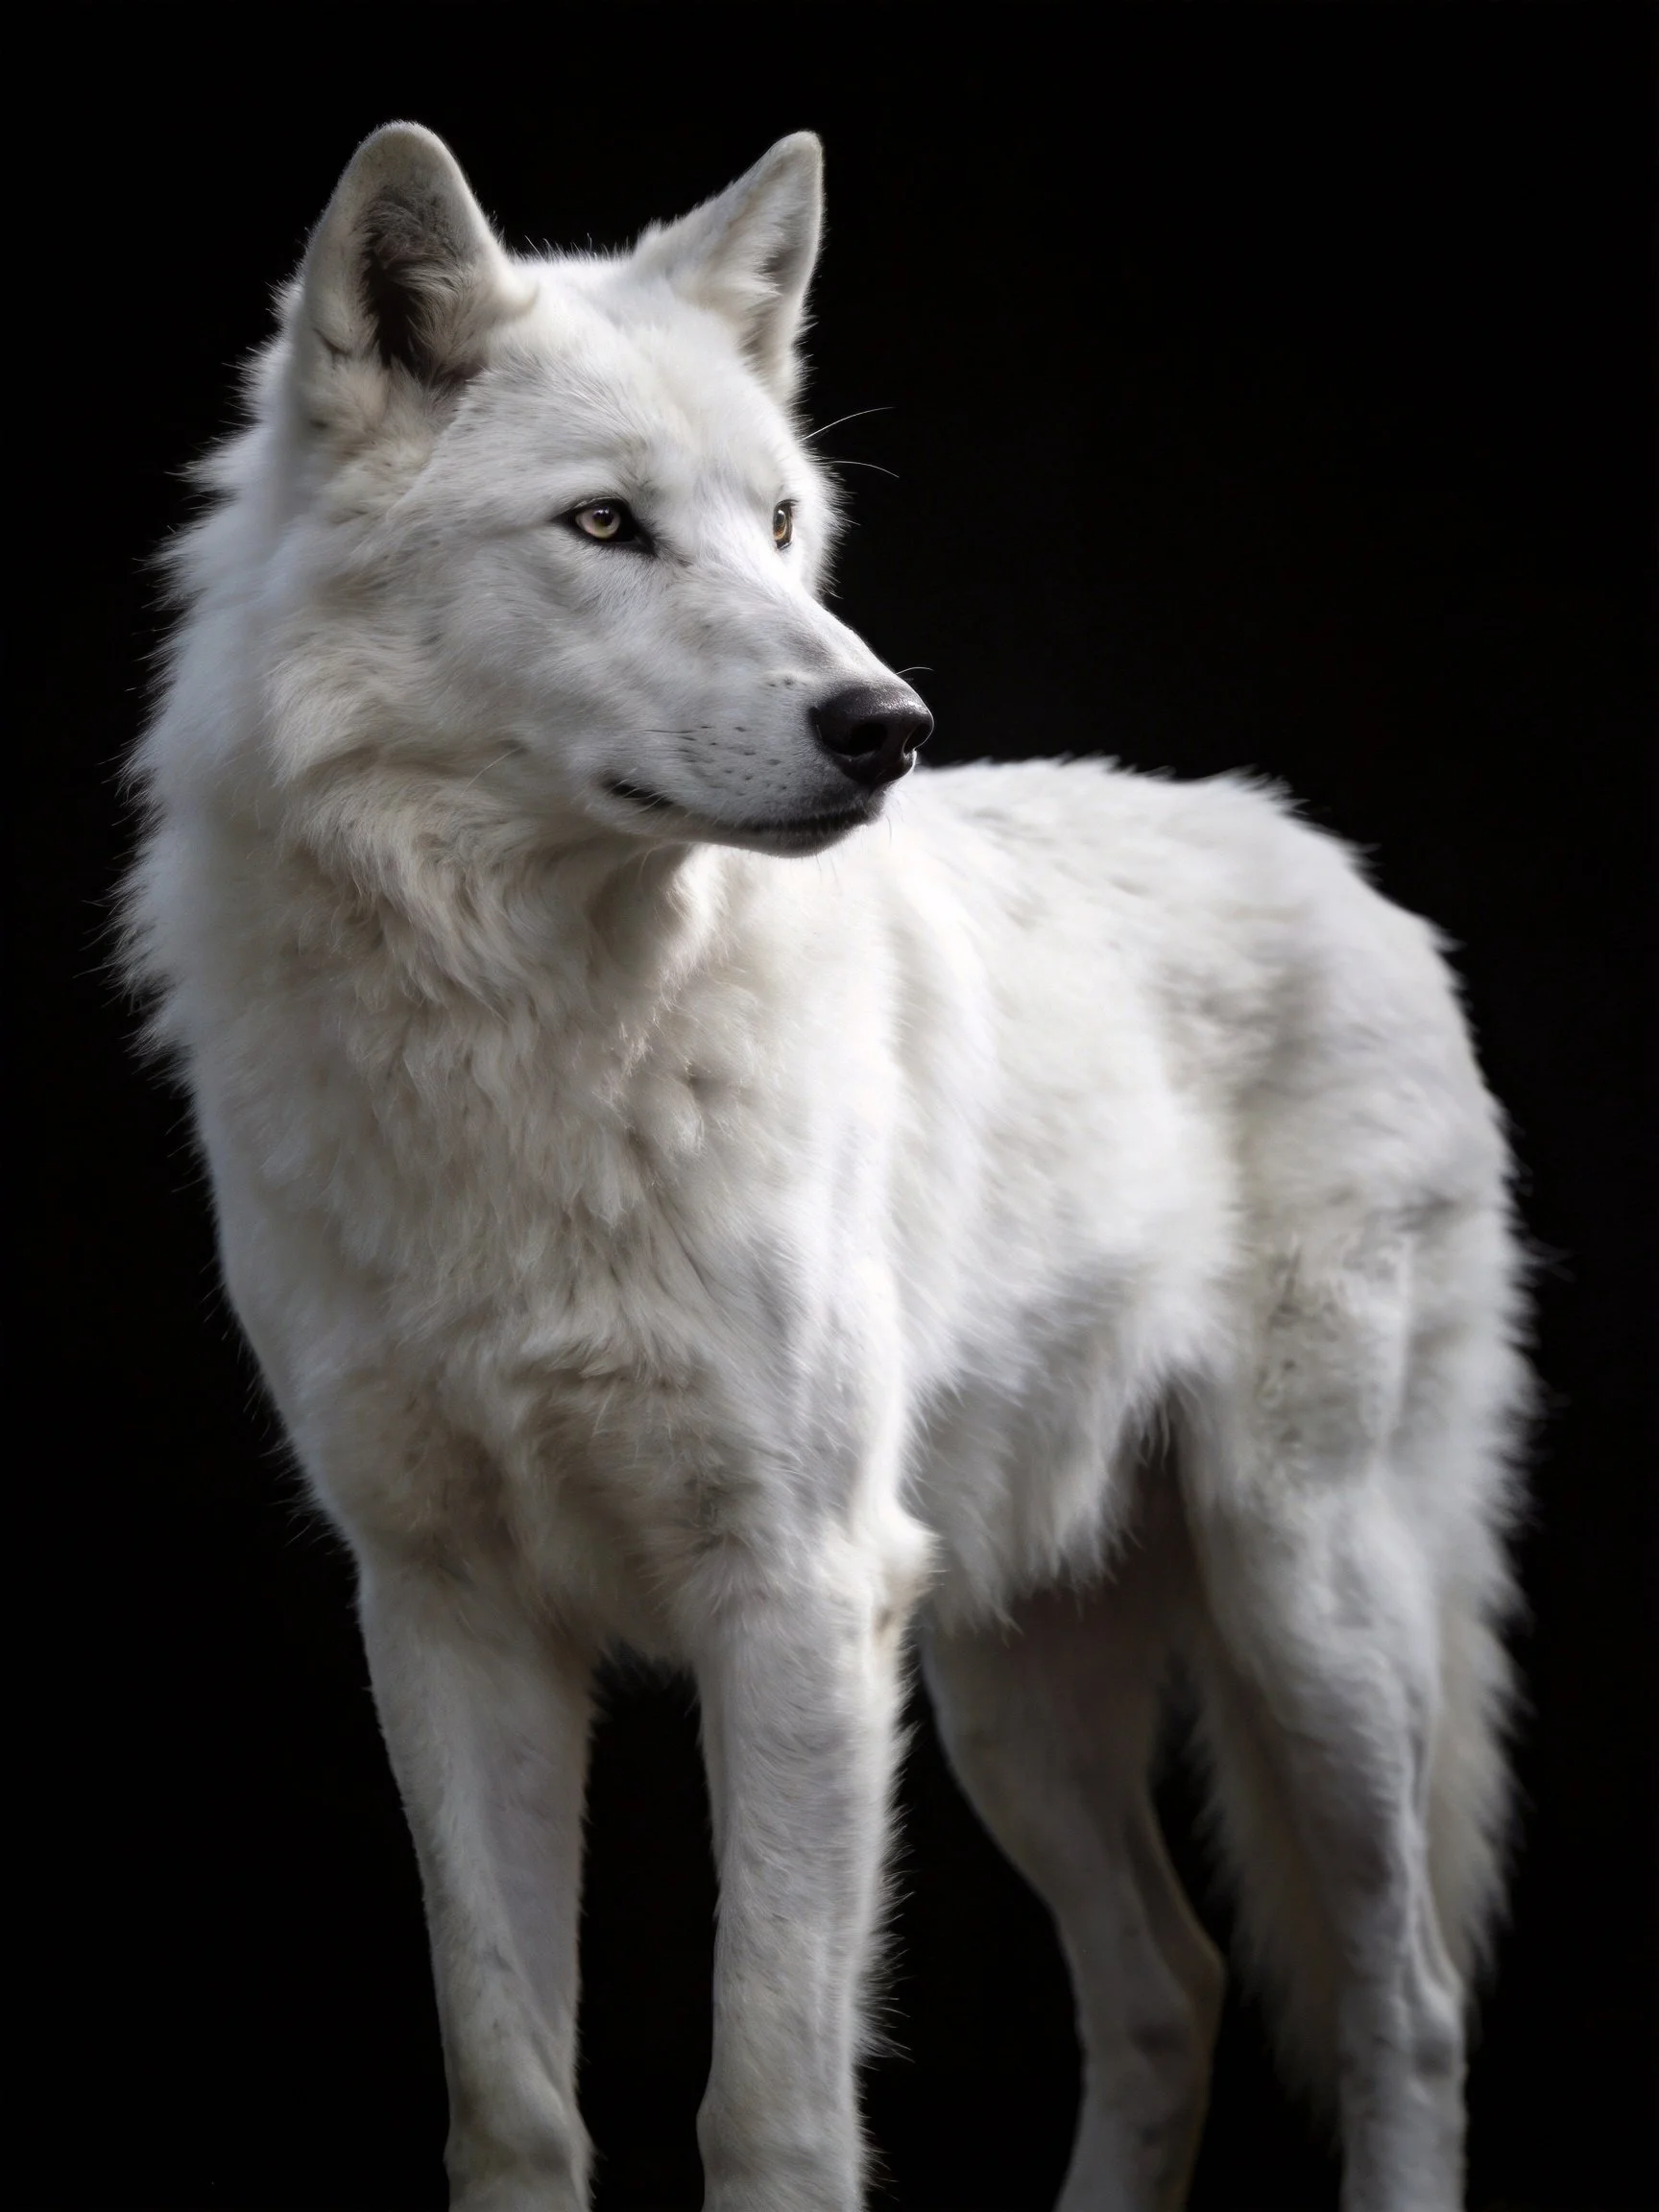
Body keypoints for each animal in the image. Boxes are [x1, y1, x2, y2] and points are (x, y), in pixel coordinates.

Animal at [124, 123, 1527, 2212]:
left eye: (782, 524)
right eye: (605, 526)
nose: (887, 726)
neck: (538, 1037)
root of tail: (1346, 875)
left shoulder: (789, 1593)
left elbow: (770, 2099)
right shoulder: (446, 1612)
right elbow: (510, 2097)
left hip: (1303, 1607)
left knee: (1405, 2003)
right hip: (1003, 1688)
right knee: (1171, 1989)